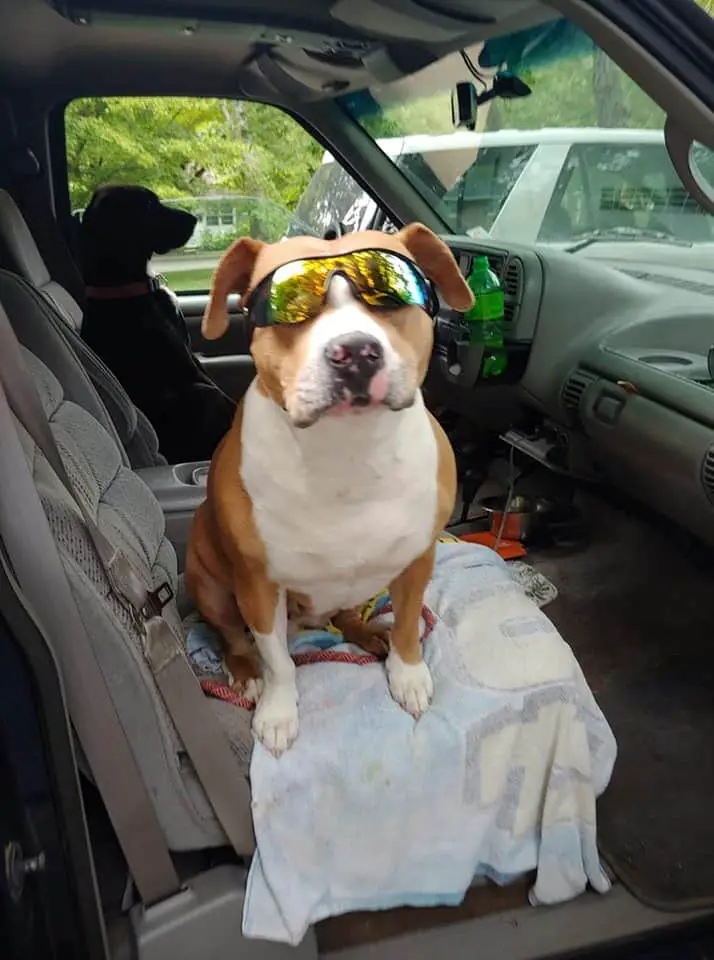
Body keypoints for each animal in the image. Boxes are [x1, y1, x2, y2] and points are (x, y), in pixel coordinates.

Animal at [80, 187, 236, 464]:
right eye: (150, 205)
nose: (194, 219)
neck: (121, 287)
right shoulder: (187, 364)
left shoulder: (191, 354)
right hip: (204, 394)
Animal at [185, 227, 472, 756]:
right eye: (289, 306)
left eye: (391, 296)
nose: (355, 352)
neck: (348, 451)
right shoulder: (259, 586)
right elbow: (277, 660)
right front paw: (278, 712)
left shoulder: (417, 561)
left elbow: (408, 625)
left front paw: (408, 675)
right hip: (209, 584)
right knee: (234, 638)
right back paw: (246, 674)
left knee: (346, 616)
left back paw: (368, 634)